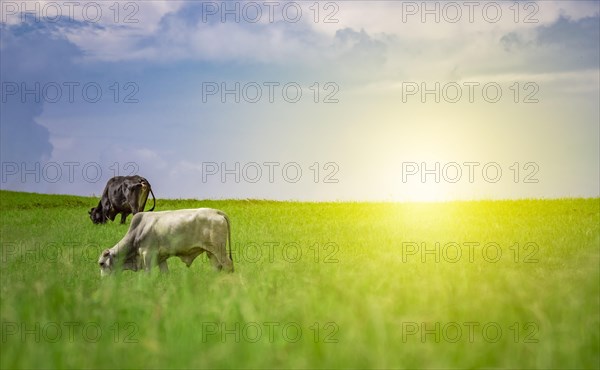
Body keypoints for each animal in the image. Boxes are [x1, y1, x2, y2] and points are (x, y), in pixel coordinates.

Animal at [97, 208, 233, 274]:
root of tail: (216, 211)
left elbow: (147, 274)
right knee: (217, 267)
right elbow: (165, 274)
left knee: (228, 265)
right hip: (211, 252)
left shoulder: (148, 255)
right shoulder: (161, 258)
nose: (103, 281)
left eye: (101, 263)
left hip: (219, 249)